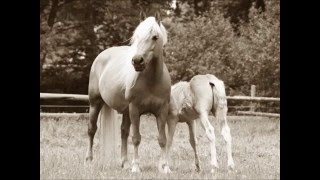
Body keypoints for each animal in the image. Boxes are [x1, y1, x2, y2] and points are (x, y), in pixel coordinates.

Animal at [85, 15, 172, 173]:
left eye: (155, 37)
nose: (137, 61)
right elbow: (136, 138)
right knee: (91, 129)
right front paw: (136, 167)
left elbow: (162, 139)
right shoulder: (135, 109)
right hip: (96, 103)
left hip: (125, 112)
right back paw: (89, 160)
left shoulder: (162, 111)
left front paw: (165, 168)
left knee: (123, 132)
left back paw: (124, 163)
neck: (152, 81)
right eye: (136, 37)